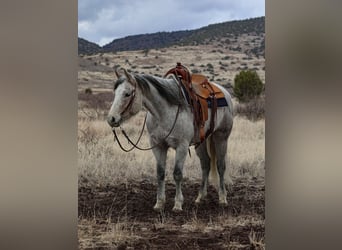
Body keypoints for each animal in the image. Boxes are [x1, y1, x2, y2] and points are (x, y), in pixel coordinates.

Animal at [107, 68, 232, 211]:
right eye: (115, 93)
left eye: (127, 94)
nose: (111, 119)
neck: (164, 112)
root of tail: (224, 92)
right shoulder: (158, 145)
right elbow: (160, 173)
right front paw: (159, 203)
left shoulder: (182, 146)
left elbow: (177, 174)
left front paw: (177, 204)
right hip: (201, 141)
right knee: (205, 164)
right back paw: (200, 197)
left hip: (221, 137)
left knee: (220, 166)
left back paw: (222, 198)